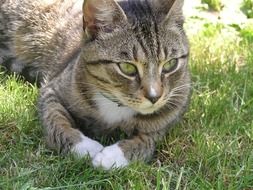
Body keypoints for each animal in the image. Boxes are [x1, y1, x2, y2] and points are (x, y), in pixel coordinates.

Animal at [0, 0, 190, 169]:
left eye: (170, 64)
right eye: (127, 67)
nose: (154, 97)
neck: (116, 103)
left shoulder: (168, 118)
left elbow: (147, 140)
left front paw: (112, 156)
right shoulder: (52, 90)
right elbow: (56, 120)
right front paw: (85, 147)